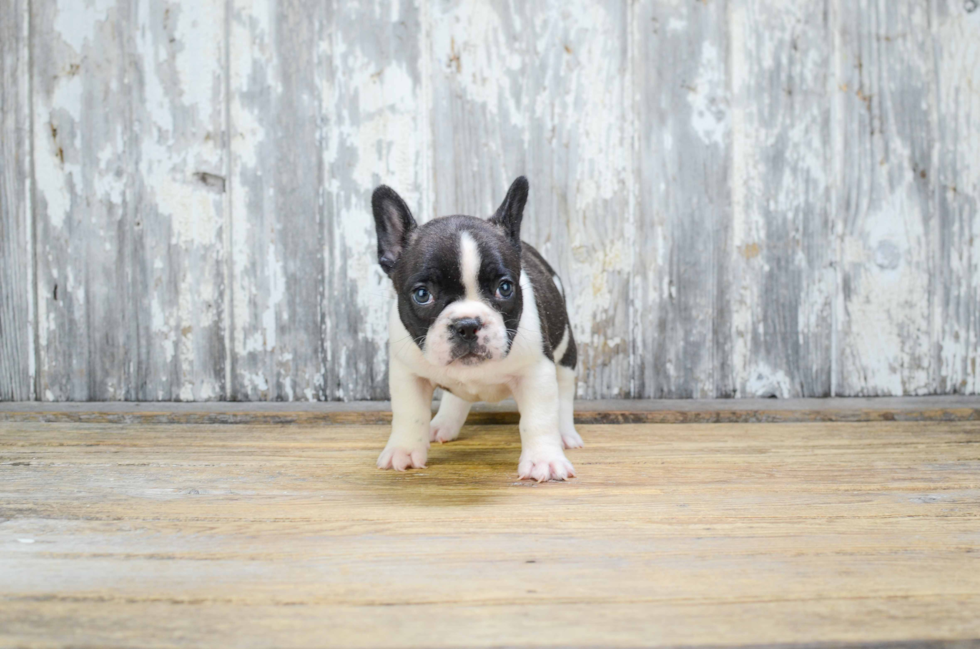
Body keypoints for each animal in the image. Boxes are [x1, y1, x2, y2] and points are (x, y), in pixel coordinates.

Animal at [370, 177, 580, 480]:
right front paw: (404, 451)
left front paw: (544, 460)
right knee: (456, 397)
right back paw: (443, 424)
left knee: (563, 392)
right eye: (422, 294)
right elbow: (410, 414)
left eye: (505, 288)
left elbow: (539, 419)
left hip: (564, 351)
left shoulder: (536, 372)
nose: (467, 325)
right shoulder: (408, 374)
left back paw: (565, 434)